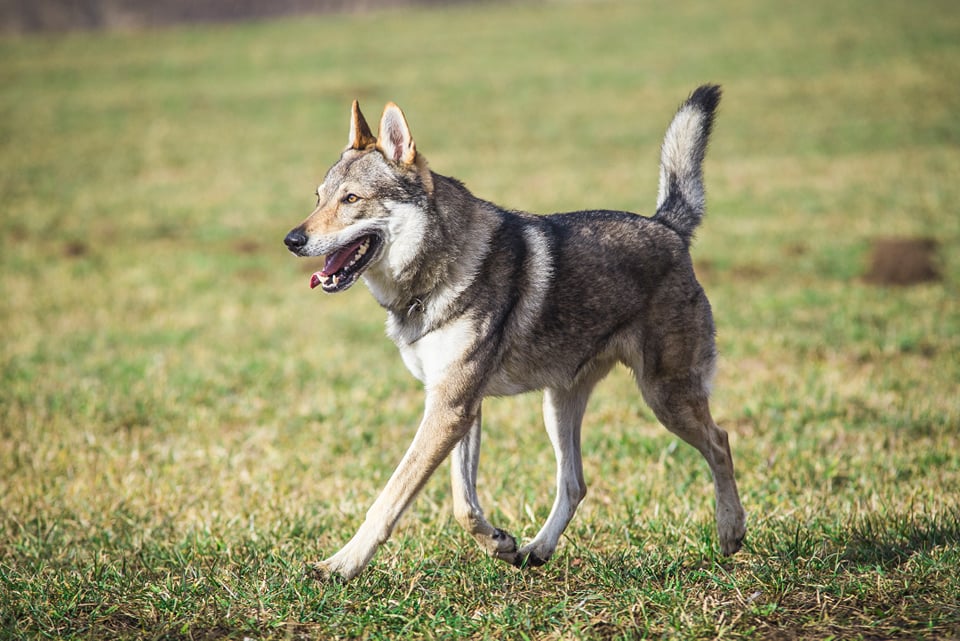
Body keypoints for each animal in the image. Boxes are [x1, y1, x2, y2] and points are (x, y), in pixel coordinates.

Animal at [282, 85, 748, 580]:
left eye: (351, 199)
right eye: (318, 197)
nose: (292, 240)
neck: (431, 277)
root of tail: (667, 226)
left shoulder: (450, 407)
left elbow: (391, 497)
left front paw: (341, 565)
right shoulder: (457, 405)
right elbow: (462, 505)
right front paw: (499, 543)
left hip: (665, 398)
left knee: (720, 441)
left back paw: (730, 531)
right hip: (559, 405)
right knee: (575, 484)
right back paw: (537, 550)